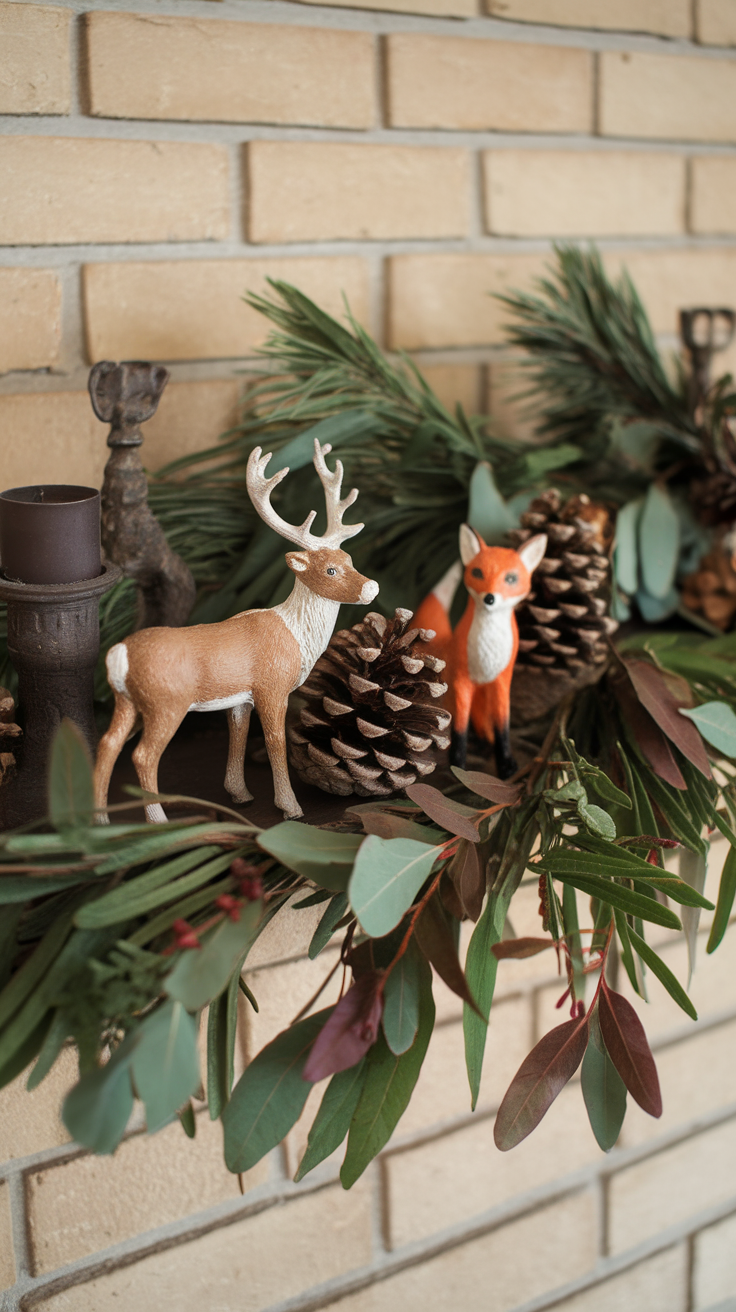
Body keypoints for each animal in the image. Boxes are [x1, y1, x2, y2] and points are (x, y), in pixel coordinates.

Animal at [414, 527, 545, 776]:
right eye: (477, 572)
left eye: (511, 578)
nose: (489, 598)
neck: (487, 655)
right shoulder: (462, 682)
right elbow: (460, 729)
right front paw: (458, 765)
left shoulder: (502, 682)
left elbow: (503, 727)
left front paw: (506, 765)